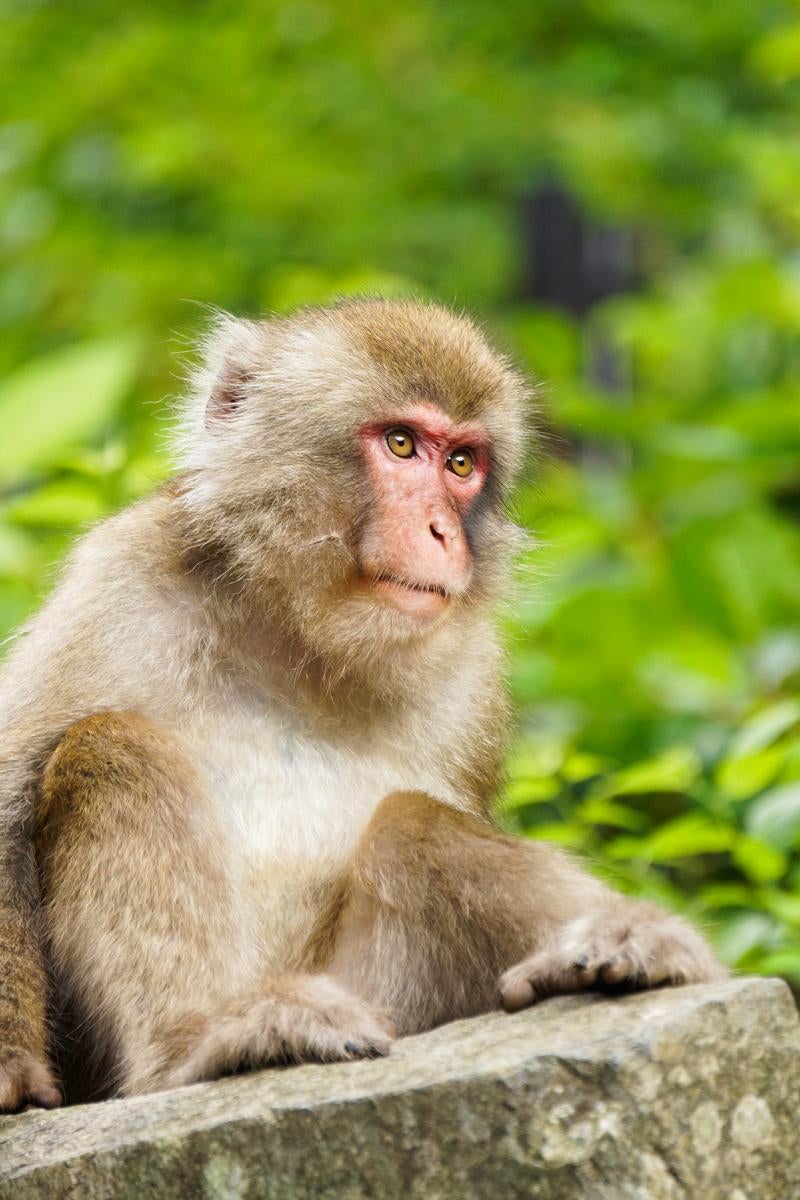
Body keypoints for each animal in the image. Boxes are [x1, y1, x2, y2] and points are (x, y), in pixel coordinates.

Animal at [0, 295, 724, 1108]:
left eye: (462, 463)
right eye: (401, 444)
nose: (442, 532)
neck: (298, 644)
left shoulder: (475, 672)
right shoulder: (119, 579)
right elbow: (10, 801)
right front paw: (12, 1071)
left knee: (415, 823)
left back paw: (620, 951)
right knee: (110, 746)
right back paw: (205, 1042)